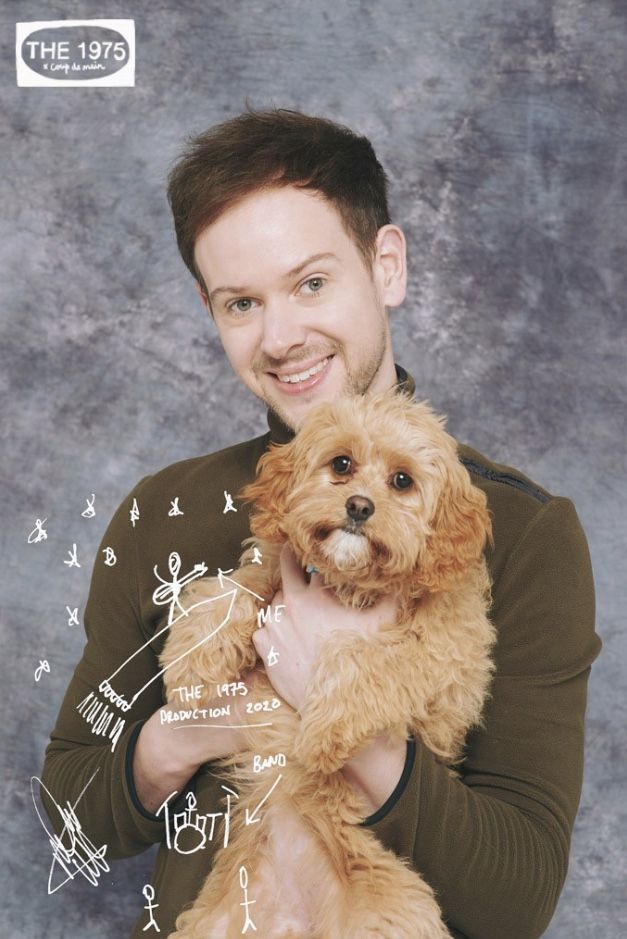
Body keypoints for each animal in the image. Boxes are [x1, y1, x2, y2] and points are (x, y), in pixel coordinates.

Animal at [161, 386, 496, 936]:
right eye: (342, 464)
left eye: (402, 480)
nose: (358, 506)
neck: (349, 587)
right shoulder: (273, 568)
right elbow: (233, 591)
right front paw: (193, 655)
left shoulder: (449, 654)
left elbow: (373, 660)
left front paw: (325, 731)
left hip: (393, 912)